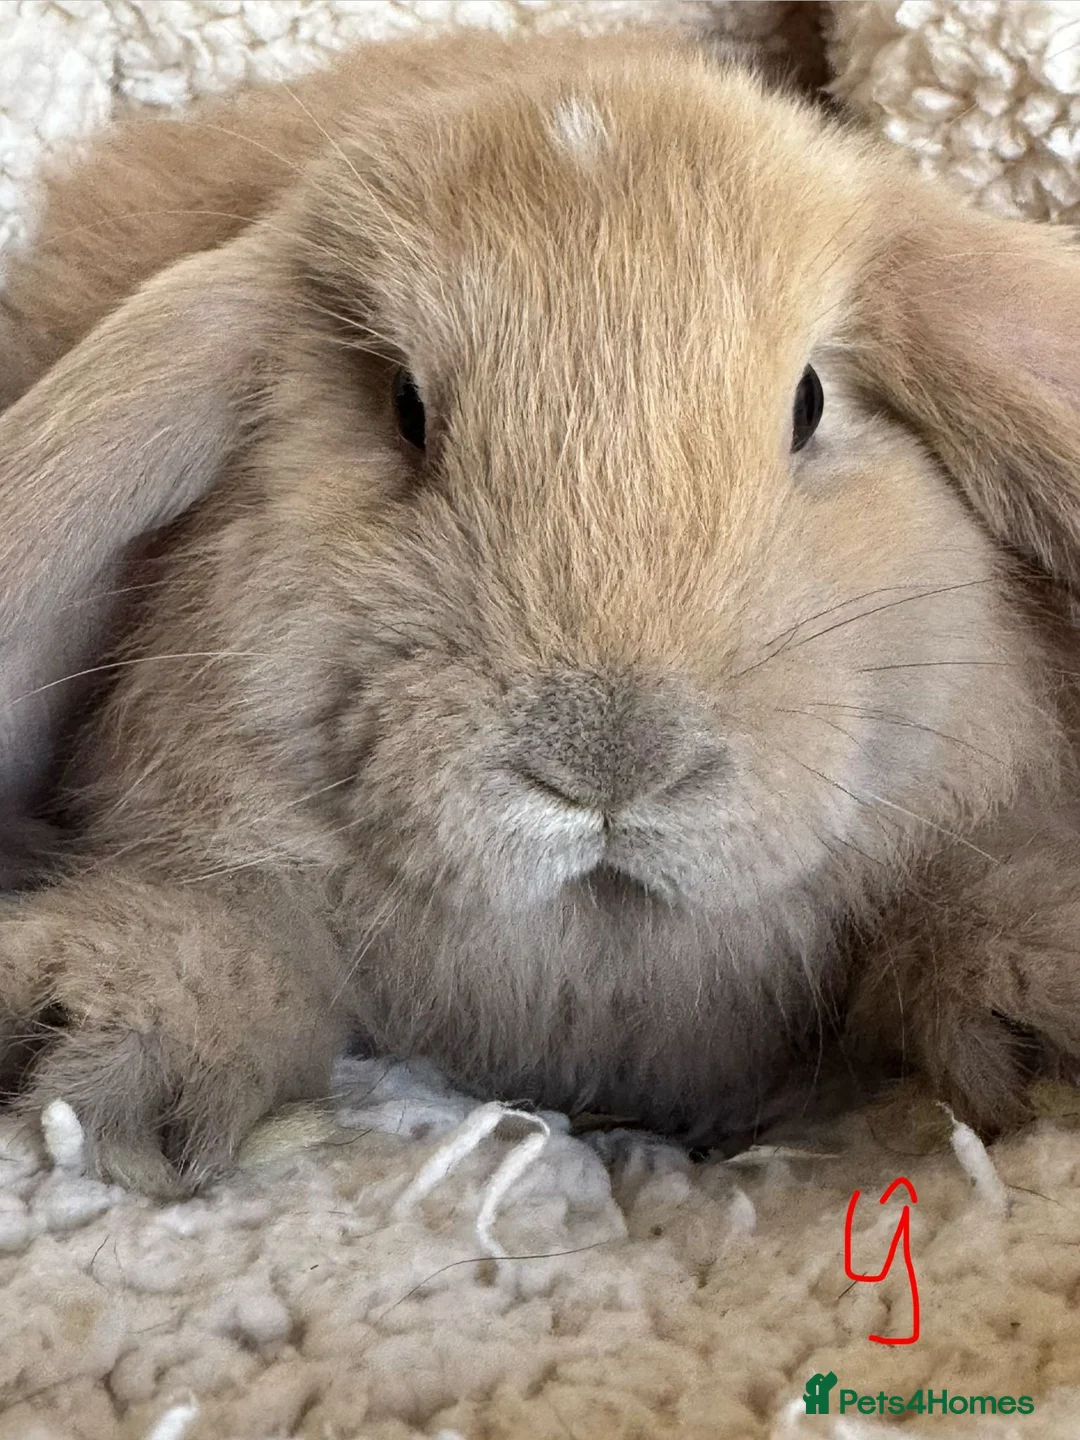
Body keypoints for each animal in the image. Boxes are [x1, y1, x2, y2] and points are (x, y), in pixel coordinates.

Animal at [4, 27, 1080, 1196]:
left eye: (810, 403)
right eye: (404, 408)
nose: (610, 761)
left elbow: (949, 907)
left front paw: (1041, 1005)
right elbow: (240, 923)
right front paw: (97, 1048)